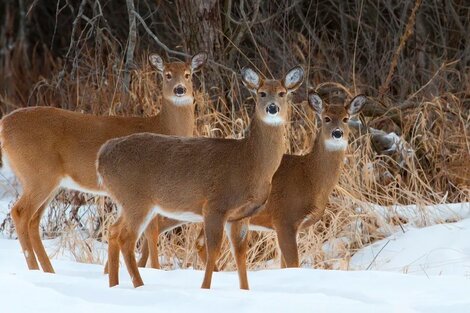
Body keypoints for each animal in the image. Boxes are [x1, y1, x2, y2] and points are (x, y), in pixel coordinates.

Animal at [0, 51, 207, 272]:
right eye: (167, 74)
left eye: (188, 74)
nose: (180, 89)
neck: (162, 126)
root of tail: (4, 124)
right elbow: (151, 231)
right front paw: (154, 270)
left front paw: (109, 270)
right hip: (38, 173)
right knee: (20, 212)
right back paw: (35, 269)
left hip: (48, 180)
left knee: (33, 221)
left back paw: (49, 271)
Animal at [97, 64, 306, 288]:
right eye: (262, 93)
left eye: (283, 93)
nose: (272, 108)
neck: (249, 163)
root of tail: (102, 155)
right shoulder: (215, 205)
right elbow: (213, 250)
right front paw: (205, 288)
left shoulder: (241, 215)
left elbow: (240, 254)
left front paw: (245, 290)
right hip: (136, 199)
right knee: (126, 238)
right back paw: (139, 285)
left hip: (125, 201)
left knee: (113, 231)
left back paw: (114, 284)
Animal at [138, 90, 366, 268]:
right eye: (325, 118)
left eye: (346, 118)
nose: (337, 133)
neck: (310, 177)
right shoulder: (284, 219)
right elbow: (293, 263)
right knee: (155, 228)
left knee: (193, 242)